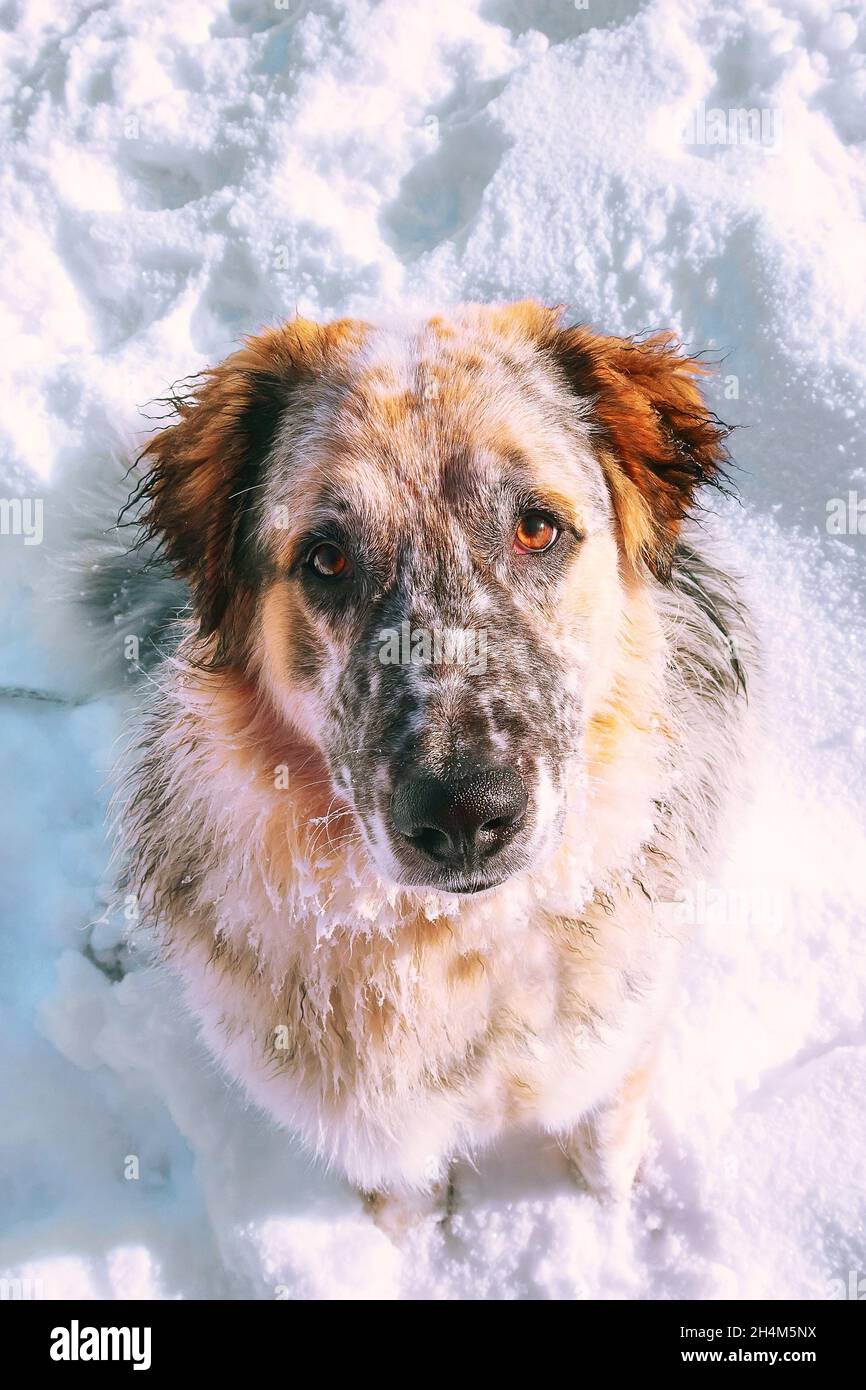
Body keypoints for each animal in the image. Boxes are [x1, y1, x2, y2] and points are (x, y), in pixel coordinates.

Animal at [113, 301, 750, 1228]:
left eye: (536, 527)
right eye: (327, 558)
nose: (464, 814)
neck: (450, 945)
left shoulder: (616, 1048)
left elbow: (604, 1149)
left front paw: (607, 1225)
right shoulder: (373, 1132)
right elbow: (405, 1203)